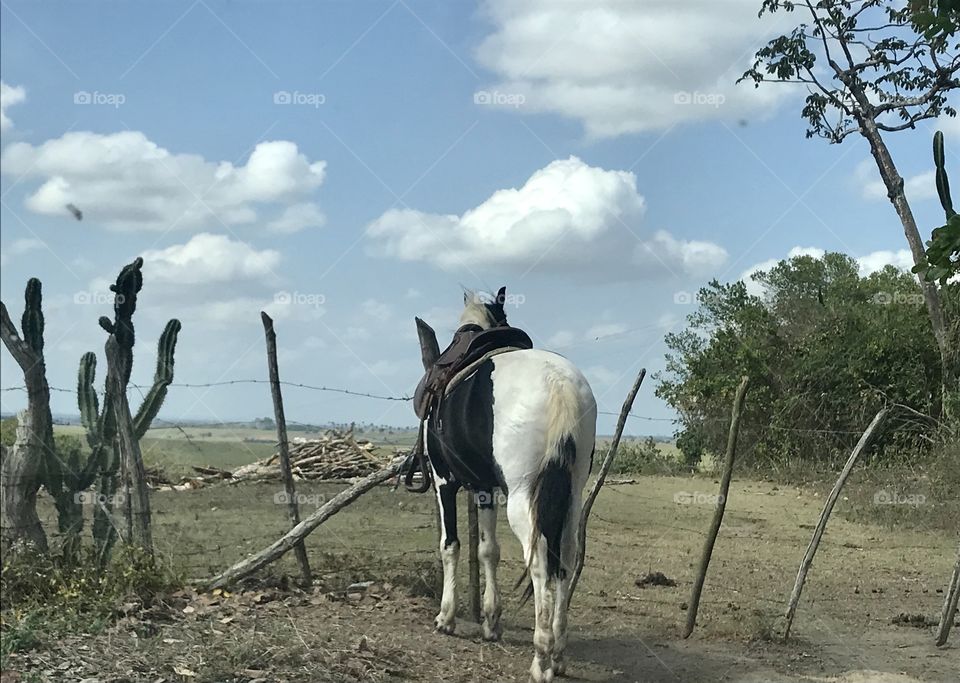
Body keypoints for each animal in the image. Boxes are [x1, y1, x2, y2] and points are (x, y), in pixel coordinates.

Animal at [417, 287, 596, 683]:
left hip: (522, 498)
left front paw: (446, 618)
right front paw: (490, 622)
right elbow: (488, 551)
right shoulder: (485, 488)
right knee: (566, 557)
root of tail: (559, 387)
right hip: (572, 495)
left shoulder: (444, 481)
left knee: (540, 562)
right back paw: (558, 654)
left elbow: (450, 545)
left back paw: (541, 658)